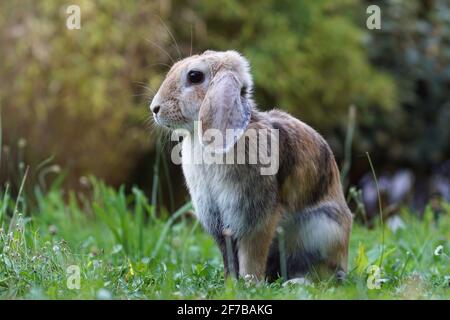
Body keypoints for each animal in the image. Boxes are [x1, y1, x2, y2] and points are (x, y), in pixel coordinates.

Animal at [149, 48, 354, 282]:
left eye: (195, 76)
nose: (154, 108)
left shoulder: (254, 216)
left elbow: (251, 255)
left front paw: (249, 283)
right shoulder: (218, 219)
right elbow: (228, 255)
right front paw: (230, 283)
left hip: (323, 229)